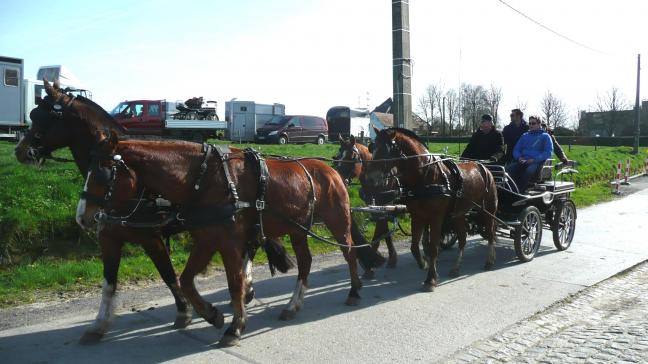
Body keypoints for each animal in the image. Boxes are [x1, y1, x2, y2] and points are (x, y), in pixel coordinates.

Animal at [13, 81, 192, 342]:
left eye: (42, 116)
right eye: (33, 114)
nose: (20, 150)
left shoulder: (152, 238)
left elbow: (168, 274)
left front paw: (183, 311)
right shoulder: (108, 237)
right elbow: (108, 283)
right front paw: (99, 324)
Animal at [76, 132, 382, 346]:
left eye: (102, 173)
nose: (83, 216)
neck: (205, 180)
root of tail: (332, 171)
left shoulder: (228, 243)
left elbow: (234, 283)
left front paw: (234, 326)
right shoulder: (206, 240)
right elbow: (185, 280)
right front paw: (211, 314)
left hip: (337, 221)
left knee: (349, 252)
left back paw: (354, 291)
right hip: (297, 230)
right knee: (305, 263)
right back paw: (293, 305)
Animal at [364, 127, 496, 290]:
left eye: (386, 150)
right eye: (373, 148)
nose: (370, 179)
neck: (425, 177)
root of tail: (484, 168)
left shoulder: (436, 217)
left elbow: (433, 247)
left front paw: (431, 279)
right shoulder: (417, 216)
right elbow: (415, 247)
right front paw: (423, 264)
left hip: (488, 210)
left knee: (490, 233)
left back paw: (489, 261)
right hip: (459, 214)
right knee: (463, 238)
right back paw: (456, 268)